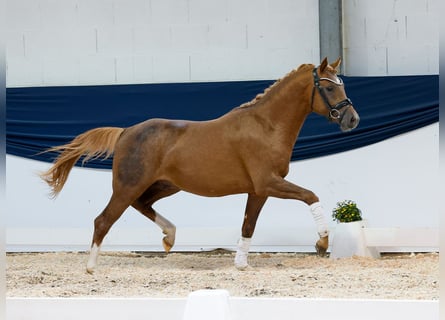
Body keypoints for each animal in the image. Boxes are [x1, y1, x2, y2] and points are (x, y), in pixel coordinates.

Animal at [40, 57, 358, 272]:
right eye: (329, 88)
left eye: (342, 86)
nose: (352, 119)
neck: (266, 126)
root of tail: (126, 131)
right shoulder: (269, 182)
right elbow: (311, 196)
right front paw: (322, 243)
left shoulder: (259, 190)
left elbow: (248, 225)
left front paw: (241, 264)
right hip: (128, 186)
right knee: (103, 220)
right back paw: (91, 266)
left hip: (164, 185)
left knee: (142, 205)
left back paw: (169, 237)